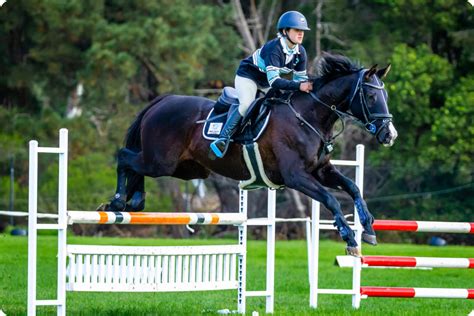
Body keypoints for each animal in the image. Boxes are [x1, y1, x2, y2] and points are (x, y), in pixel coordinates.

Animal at [103, 53, 396, 256]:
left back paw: (135, 200)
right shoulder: (296, 177)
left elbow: (353, 188)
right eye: (371, 97)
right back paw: (118, 202)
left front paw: (369, 229)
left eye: (385, 96)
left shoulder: (321, 171)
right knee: (124, 157)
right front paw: (350, 238)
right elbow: (331, 200)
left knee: (135, 165)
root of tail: (162, 100)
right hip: (160, 161)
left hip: (185, 169)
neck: (308, 117)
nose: (389, 135)